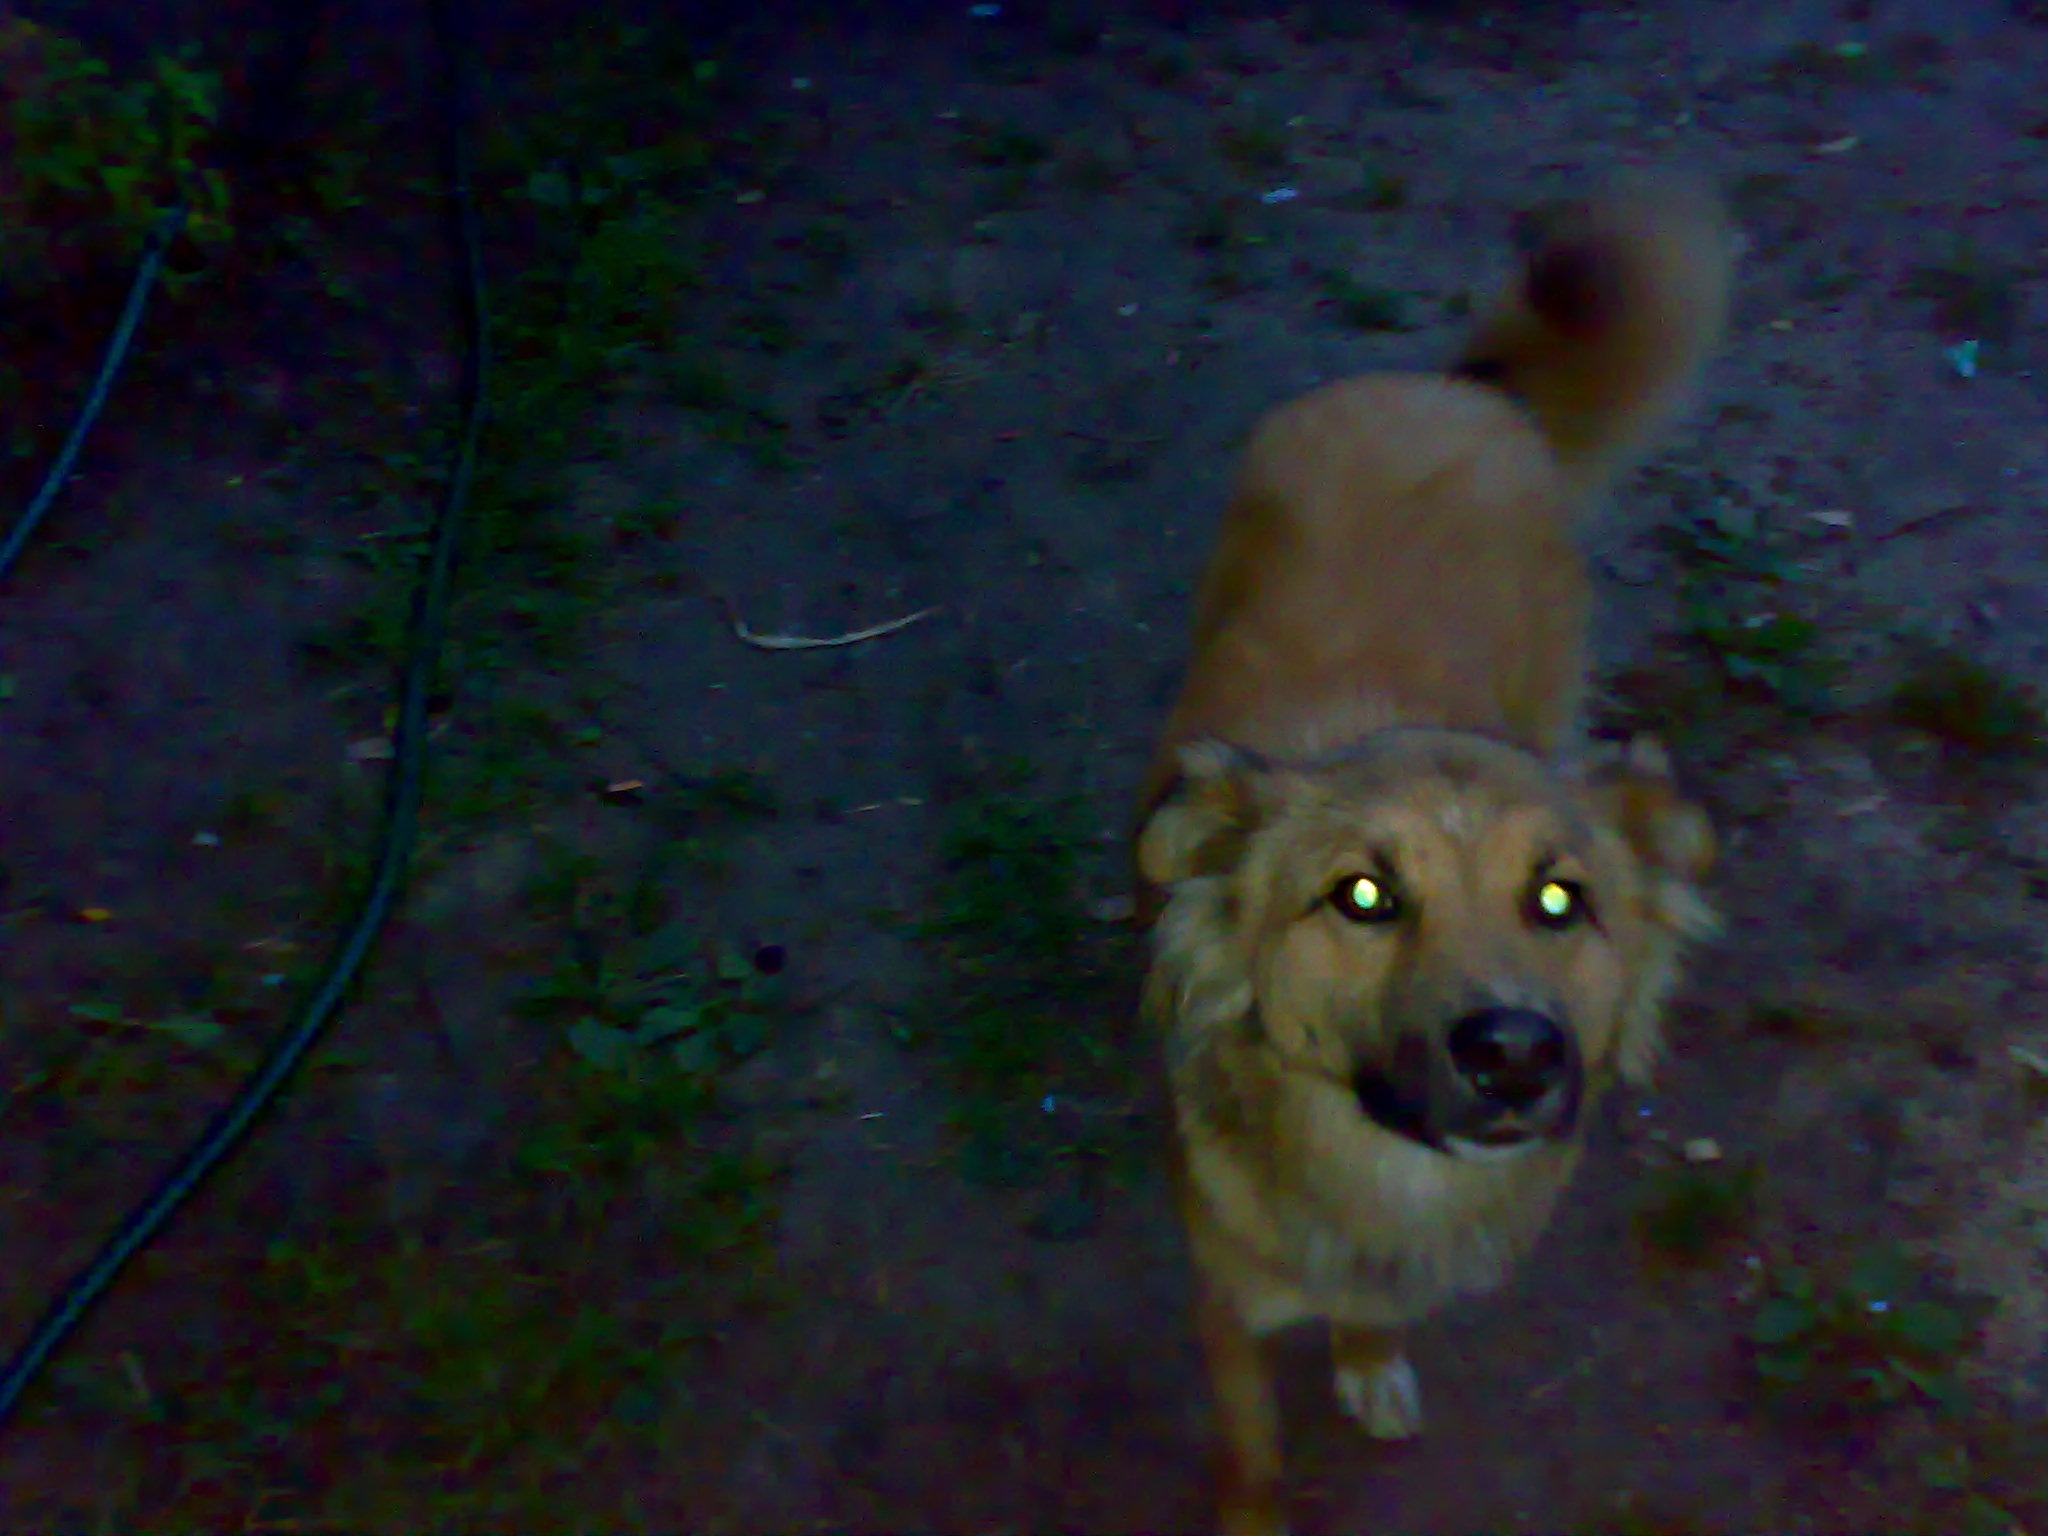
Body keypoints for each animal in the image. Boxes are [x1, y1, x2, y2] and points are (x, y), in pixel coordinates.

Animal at [1133, 173, 1734, 1536]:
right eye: (1360, 895)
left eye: (1559, 899)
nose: (1514, 1055)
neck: (1377, 1174)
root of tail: (1455, 392)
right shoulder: (1214, 1293)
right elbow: (1250, 1447)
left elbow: (1369, 1321)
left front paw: (1366, 1360)